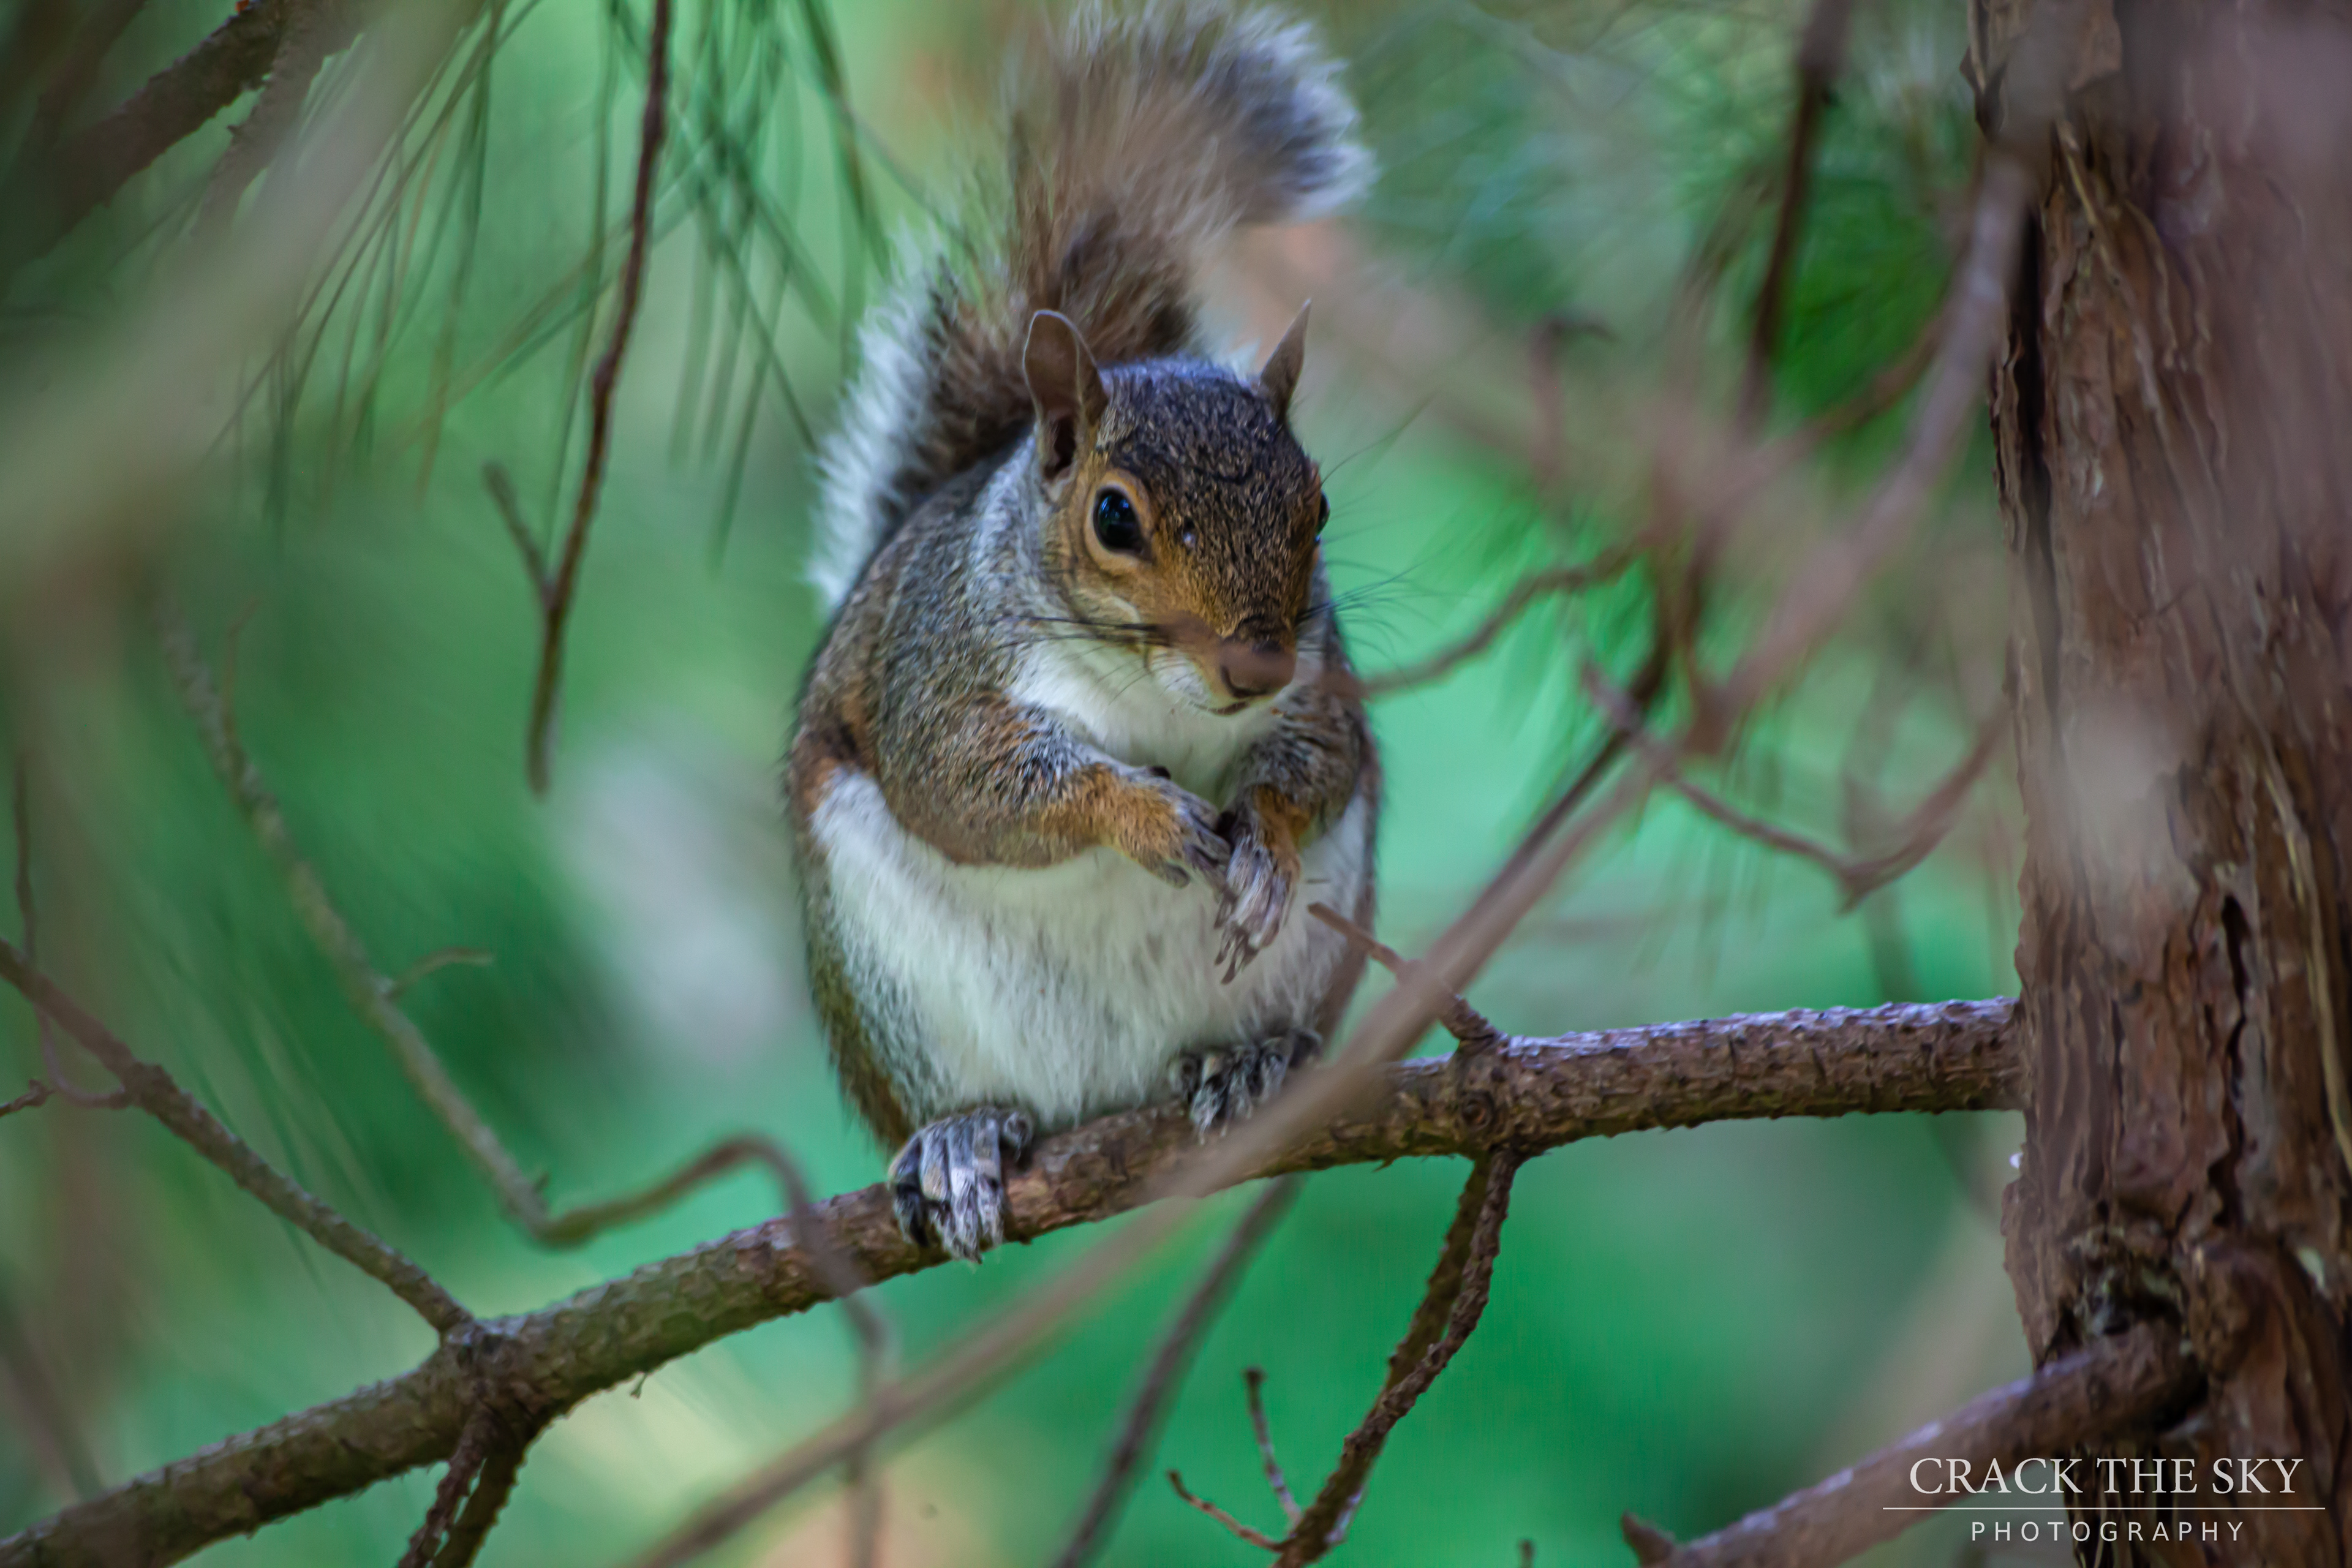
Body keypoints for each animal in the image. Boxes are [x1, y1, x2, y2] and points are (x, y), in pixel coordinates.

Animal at [787, 2, 1381, 1261]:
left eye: (1316, 508)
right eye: (1114, 517)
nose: (1254, 661)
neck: (1155, 687)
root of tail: (1112, 1101)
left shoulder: (1320, 687)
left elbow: (1317, 766)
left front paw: (1262, 846)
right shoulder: (938, 675)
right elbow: (974, 785)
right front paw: (1143, 814)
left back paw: (1252, 1063)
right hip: (896, 989)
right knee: (964, 1096)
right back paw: (961, 1141)